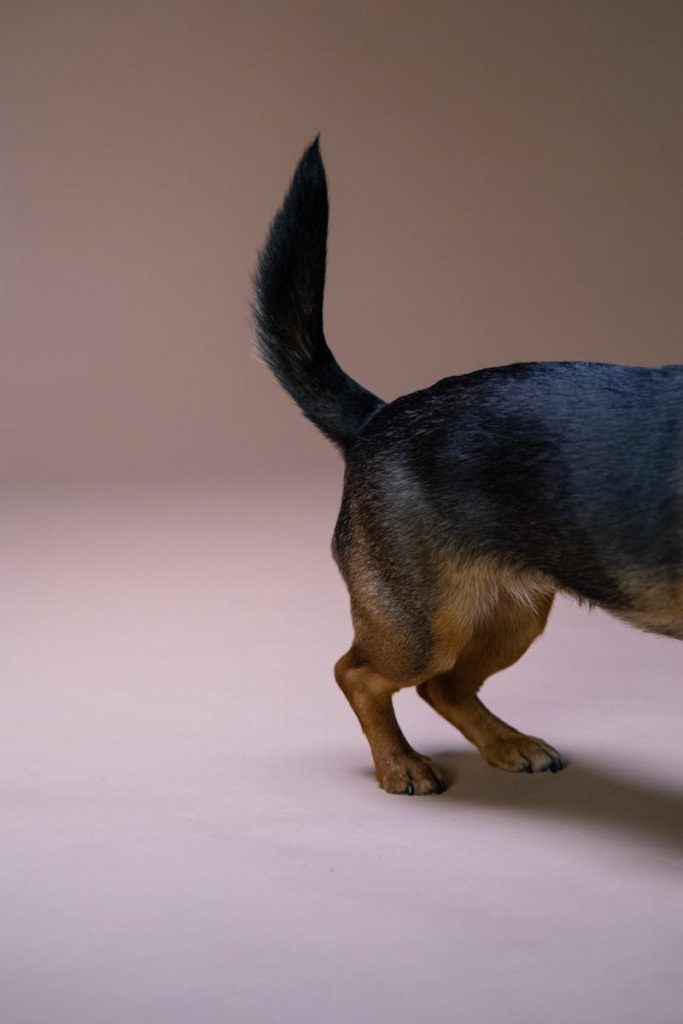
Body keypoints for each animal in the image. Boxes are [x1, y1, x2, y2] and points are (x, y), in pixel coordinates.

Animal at [252, 138, 683, 790]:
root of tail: (379, 415)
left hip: (511, 616)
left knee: (445, 686)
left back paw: (506, 743)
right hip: (421, 626)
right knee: (358, 674)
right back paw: (399, 762)